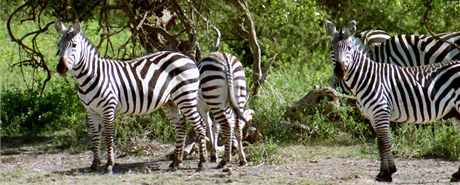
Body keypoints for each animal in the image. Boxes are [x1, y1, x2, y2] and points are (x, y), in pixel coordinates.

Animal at [52, 21, 208, 173]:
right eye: (59, 45)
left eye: (74, 45)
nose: (61, 69)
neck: (90, 76)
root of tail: (186, 57)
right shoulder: (91, 111)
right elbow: (95, 137)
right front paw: (94, 165)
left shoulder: (108, 108)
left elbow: (108, 135)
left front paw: (109, 164)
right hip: (170, 102)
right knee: (181, 126)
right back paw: (176, 162)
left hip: (185, 97)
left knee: (200, 125)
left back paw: (202, 162)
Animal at [326, 19, 460, 182]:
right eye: (331, 48)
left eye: (350, 48)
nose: (339, 72)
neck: (368, 78)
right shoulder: (373, 116)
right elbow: (383, 141)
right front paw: (389, 170)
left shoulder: (381, 110)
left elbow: (383, 142)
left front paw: (385, 174)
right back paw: (457, 175)